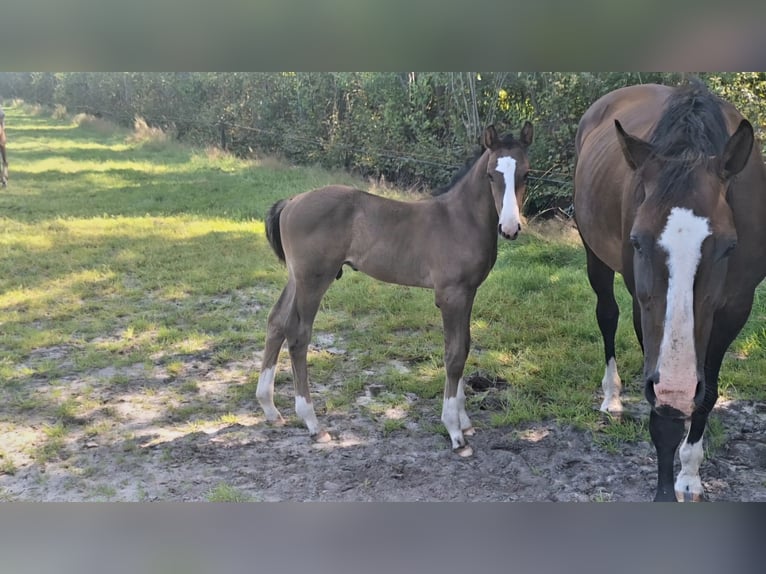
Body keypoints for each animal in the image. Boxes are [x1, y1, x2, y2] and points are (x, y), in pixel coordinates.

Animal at [258, 124, 536, 456]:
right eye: (491, 175)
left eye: (527, 174)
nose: (510, 228)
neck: (459, 220)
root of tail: (292, 201)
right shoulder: (451, 295)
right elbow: (454, 355)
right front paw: (455, 433)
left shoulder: (468, 293)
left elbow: (464, 346)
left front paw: (465, 421)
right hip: (313, 280)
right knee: (298, 335)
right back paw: (313, 424)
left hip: (296, 278)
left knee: (276, 322)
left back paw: (270, 409)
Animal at [576, 79, 766, 502]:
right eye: (638, 241)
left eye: (729, 246)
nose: (678, 388)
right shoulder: (644, 310)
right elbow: (664, 416)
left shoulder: (734, 310)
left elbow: (706, 394)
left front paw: (690, 475)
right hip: (593, 255)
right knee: (606, 315)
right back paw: (612, 397)